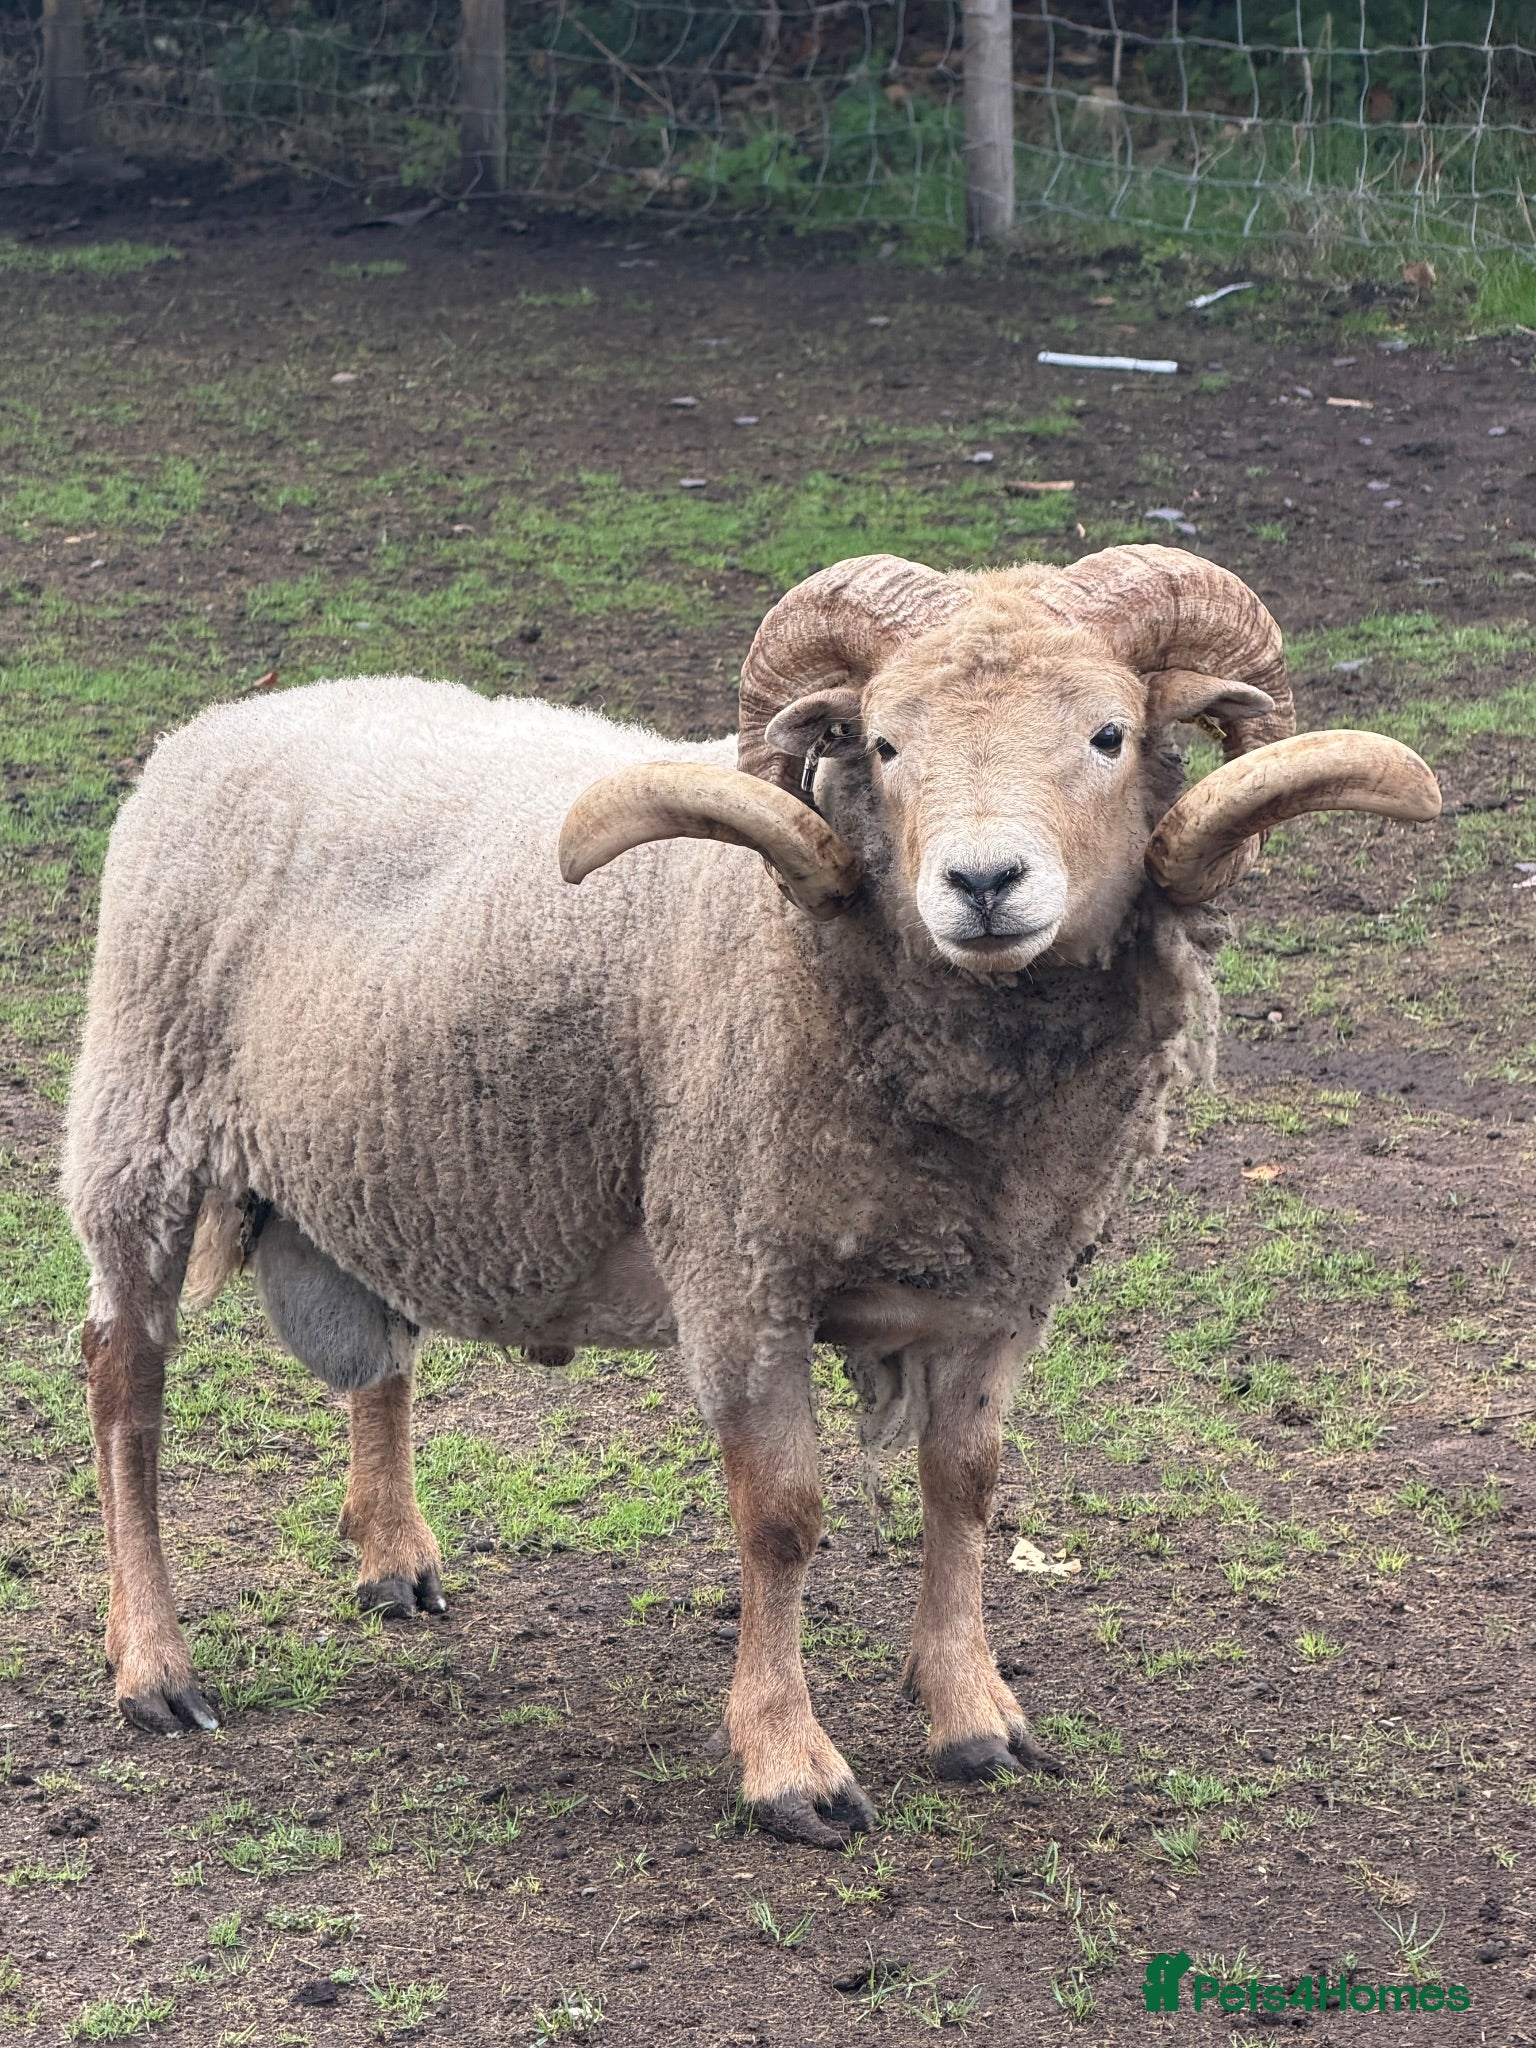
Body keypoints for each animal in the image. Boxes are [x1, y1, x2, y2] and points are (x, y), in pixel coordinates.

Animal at [63, 545, 1438, 1845]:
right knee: (125, 1381)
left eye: (1109, 734)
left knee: (379, 1354)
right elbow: (781, 1517)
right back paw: (154, 1668)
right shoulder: (739, 1266)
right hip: (138, 1123)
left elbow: (967, 1483)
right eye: (882, 743)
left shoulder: (1002, 1286)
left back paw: (394, 1560)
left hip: (381, 1164)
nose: (985, 884)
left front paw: (973, 1715)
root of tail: (238, 714)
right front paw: (790, 1765)